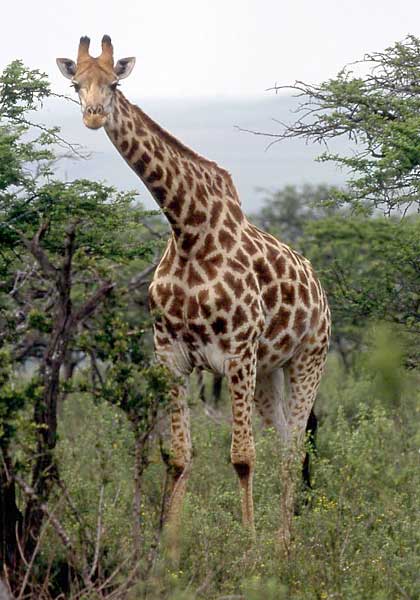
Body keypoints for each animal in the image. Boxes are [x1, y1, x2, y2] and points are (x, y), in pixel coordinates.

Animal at [56, 35, 332, 548]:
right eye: (76, 84)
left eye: (115, 83)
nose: (94, 115)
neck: (188, 230)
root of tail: (319, 288)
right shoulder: (172, 356)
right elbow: (180, 457)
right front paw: (169, 550)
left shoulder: (238, 354)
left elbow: (242, 457)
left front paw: (248, 550)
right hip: (269, 370)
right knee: (286, 438)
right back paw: (283, 537)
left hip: (309, 358)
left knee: (293, 446)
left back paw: (283, 545)